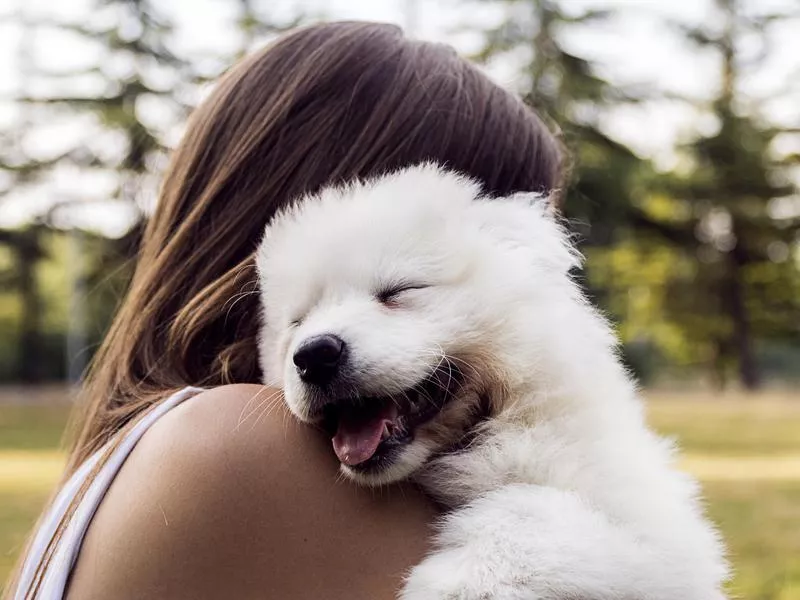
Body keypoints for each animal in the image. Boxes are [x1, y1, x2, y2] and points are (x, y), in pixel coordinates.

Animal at [258, 164, 732, 600]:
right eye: (297, 322)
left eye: (399, 290)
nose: (314, 355)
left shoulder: (660, 538)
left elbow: (526, 506)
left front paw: (456, 583)